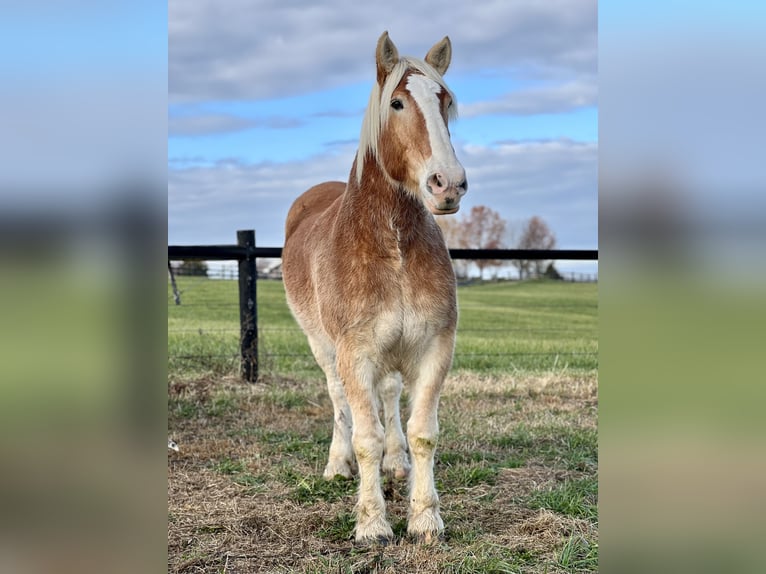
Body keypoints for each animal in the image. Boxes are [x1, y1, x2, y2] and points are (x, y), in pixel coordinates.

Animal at [282, 31, 468, 544]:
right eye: (398, 103)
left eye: (445, 101)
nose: (448, 185)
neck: (393, 245)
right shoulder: (356, 354)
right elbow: (365, 435)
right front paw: (372, 524)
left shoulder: (434, 347)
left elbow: (422, 431)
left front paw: (424, 518)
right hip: (324, 348)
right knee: (340, 404)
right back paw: (337, 464)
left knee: (389, 398)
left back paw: (396, 462)